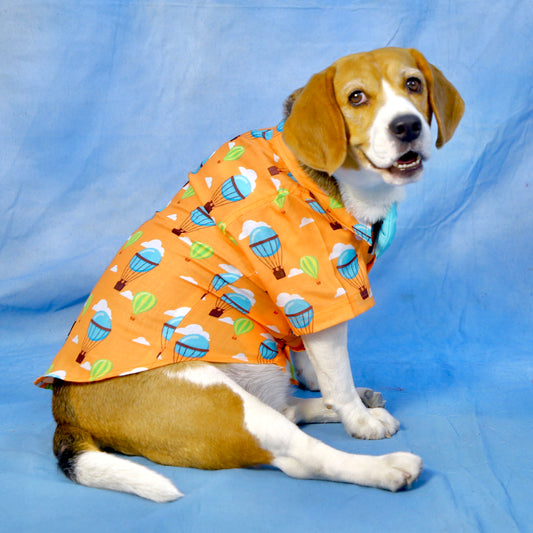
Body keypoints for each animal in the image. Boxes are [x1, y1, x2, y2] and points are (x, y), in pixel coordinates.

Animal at [36, 47, 462, 500]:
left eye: (413, 84)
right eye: (357, 97)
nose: (407, 126)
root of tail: (66, 412)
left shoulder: (300, 304)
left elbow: (309, 357)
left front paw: (322, 386)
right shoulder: (322, 292)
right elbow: (337, 378)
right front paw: (358, 419)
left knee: (289, 409)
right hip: (230, 408)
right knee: (302, 457)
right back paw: (386, 466)